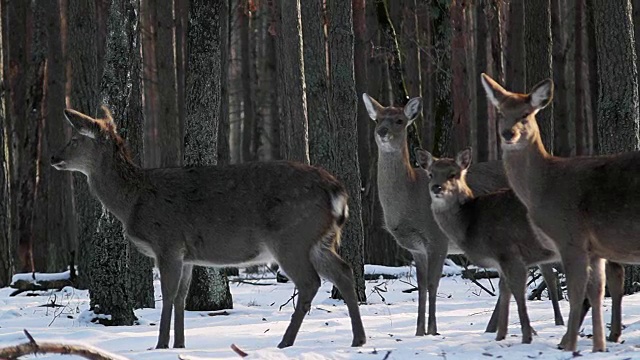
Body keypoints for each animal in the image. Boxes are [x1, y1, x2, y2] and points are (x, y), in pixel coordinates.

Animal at [50, 106, 364, 348]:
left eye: (75, 139)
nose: (53, 157)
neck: (132, 202)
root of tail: (336, 190)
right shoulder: (187, 254)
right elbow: (180, 297)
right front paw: (179, 344)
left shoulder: (167, 242)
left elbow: (168, 295)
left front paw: (160, 345)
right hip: (319, 239)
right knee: (344, 272)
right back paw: (357, 339)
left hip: (291, 237)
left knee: (311, 282)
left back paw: (285, 342)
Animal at [360, 94, 560, 336]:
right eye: (377, 119)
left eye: (399, 120)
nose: (382, 131)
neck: (410, 197)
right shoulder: (416, 248)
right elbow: (421, 287)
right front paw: (419, 332)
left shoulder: (437, 238)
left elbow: (433, 284)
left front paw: (432, 330)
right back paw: (492, 327)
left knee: (546, 271)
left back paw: (556, 322)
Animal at [480, 73, 632, 352]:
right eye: (500, 112)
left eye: (526, 114)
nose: (509, 133)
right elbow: (593, 289)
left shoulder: (570, 237)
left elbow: (575, 290)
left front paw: (570, 343)